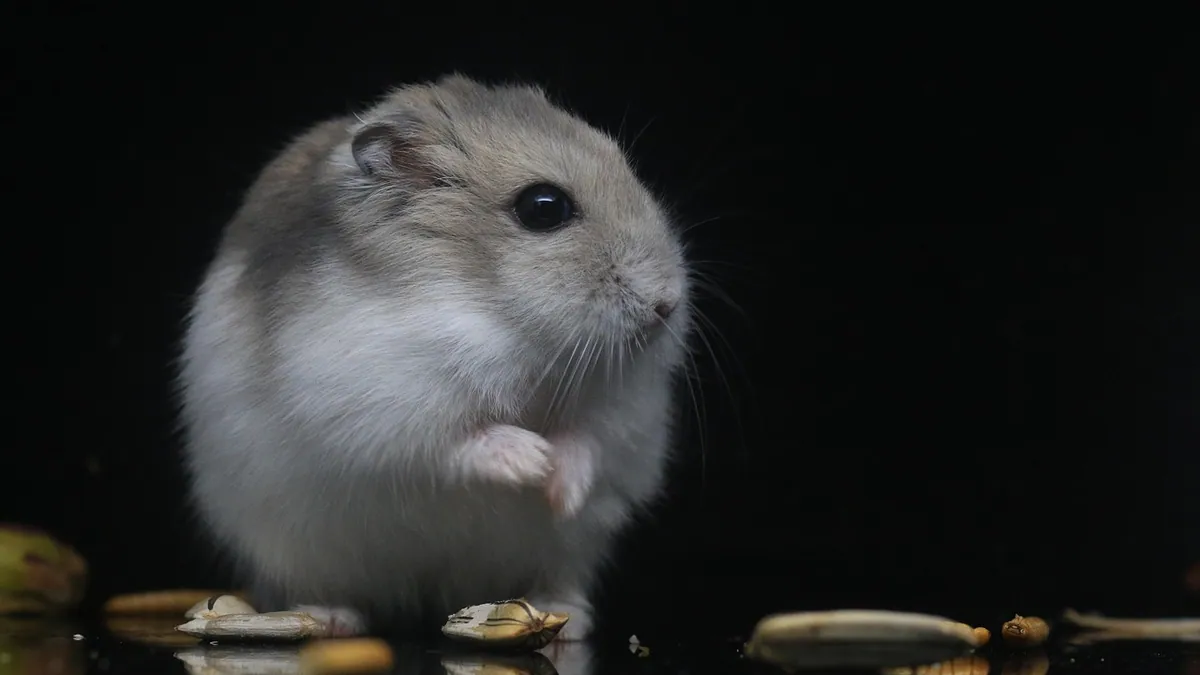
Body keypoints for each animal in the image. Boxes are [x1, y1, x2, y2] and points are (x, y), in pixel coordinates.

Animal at [177, 73, 693, 640]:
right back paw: (329, 619)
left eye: (626, 168)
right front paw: (532, 459)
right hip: (292, 543)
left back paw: (568, 618)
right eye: (544, 207)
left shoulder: (626, 410)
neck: (502, 316)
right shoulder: (383, 407)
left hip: (569, 548)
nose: (667, 304)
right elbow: (458, 441)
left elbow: (590, 438)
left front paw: (561, 487)